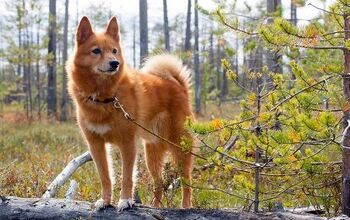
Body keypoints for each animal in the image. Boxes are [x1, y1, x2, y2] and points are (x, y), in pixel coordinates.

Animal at [67, 16, 194, 211]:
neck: (105, 97)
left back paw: (185, 206)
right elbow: (105, 177)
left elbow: (127, 177)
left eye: (114, 51)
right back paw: (154, 207)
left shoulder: (127, 143)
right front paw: (105, 200)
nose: (115, 63)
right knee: (158, 184)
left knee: (187, 181)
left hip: (179, 146)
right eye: (96, 51)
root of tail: (178, 85)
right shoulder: (96, 145)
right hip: (152, 154)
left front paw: (125, 200)